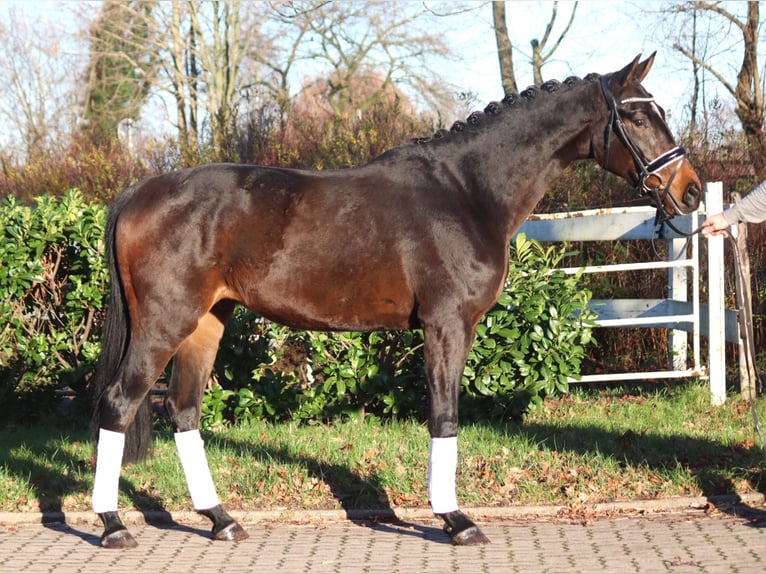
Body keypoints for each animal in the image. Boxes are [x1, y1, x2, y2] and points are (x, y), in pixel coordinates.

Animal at [90, 55, 704, 552]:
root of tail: (139, 192)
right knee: (120, 403)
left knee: (184, 410)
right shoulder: (446, 324)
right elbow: (445, 415)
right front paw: (456, 520)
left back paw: (221, 520)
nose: (692, 190)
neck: (466, 191)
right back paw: (113, 525)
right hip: (165, 323)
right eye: (638, 117)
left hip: (206, 323)